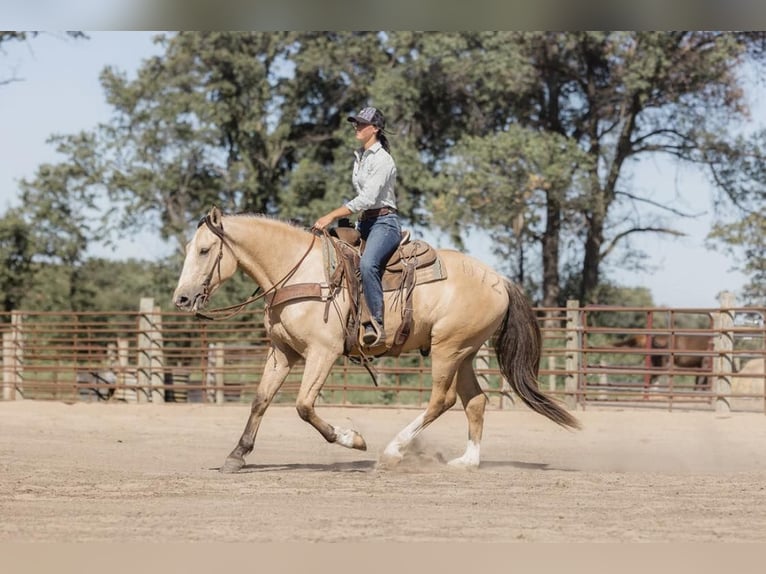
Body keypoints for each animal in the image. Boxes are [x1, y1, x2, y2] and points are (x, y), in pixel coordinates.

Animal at [172, 207, 584, 472]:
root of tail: (499, 279)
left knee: (442, 399)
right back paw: (466, 462)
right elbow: (260, 401)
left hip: (448, 349)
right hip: (464, 352)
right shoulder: (282, 352)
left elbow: (304, 406)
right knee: (476, 402)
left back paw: (392, 452)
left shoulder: (323, 352)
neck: (300, 272)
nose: (182, 299)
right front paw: (237, 455)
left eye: (205, 250)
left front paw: (352, 439)